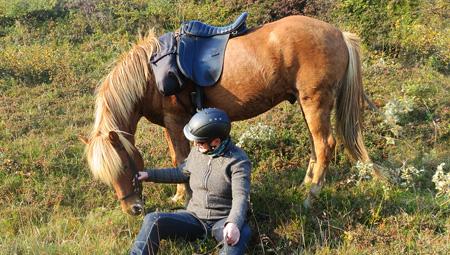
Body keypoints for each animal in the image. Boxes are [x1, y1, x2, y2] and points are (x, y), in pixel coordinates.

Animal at [80, 15, 380, 215]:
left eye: (125, 166)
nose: (133, 209)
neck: (150, 74)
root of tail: (339, 34)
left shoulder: (175, 120)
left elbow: (180, 158)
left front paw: (185, 197)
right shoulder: (169, 123)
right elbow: (176, 158)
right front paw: (178, 196)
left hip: (315, 101)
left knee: (325, 144)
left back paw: (310, 197)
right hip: (308, 104)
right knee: (315, 145)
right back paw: (306, 184)